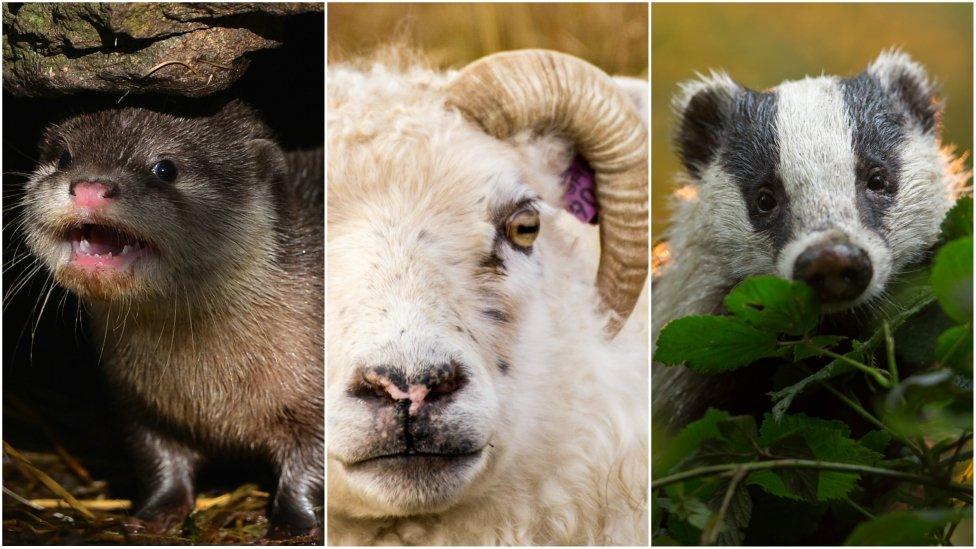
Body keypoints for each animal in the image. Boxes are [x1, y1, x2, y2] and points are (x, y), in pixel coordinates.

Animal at [19, 99, 324, 540]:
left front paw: (293, 526)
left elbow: (310, 466)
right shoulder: (138, 403)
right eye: (63, 157)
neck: (211, 391)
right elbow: (158, 458)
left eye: (165, 168)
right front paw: (155, 514)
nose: (90, 187)